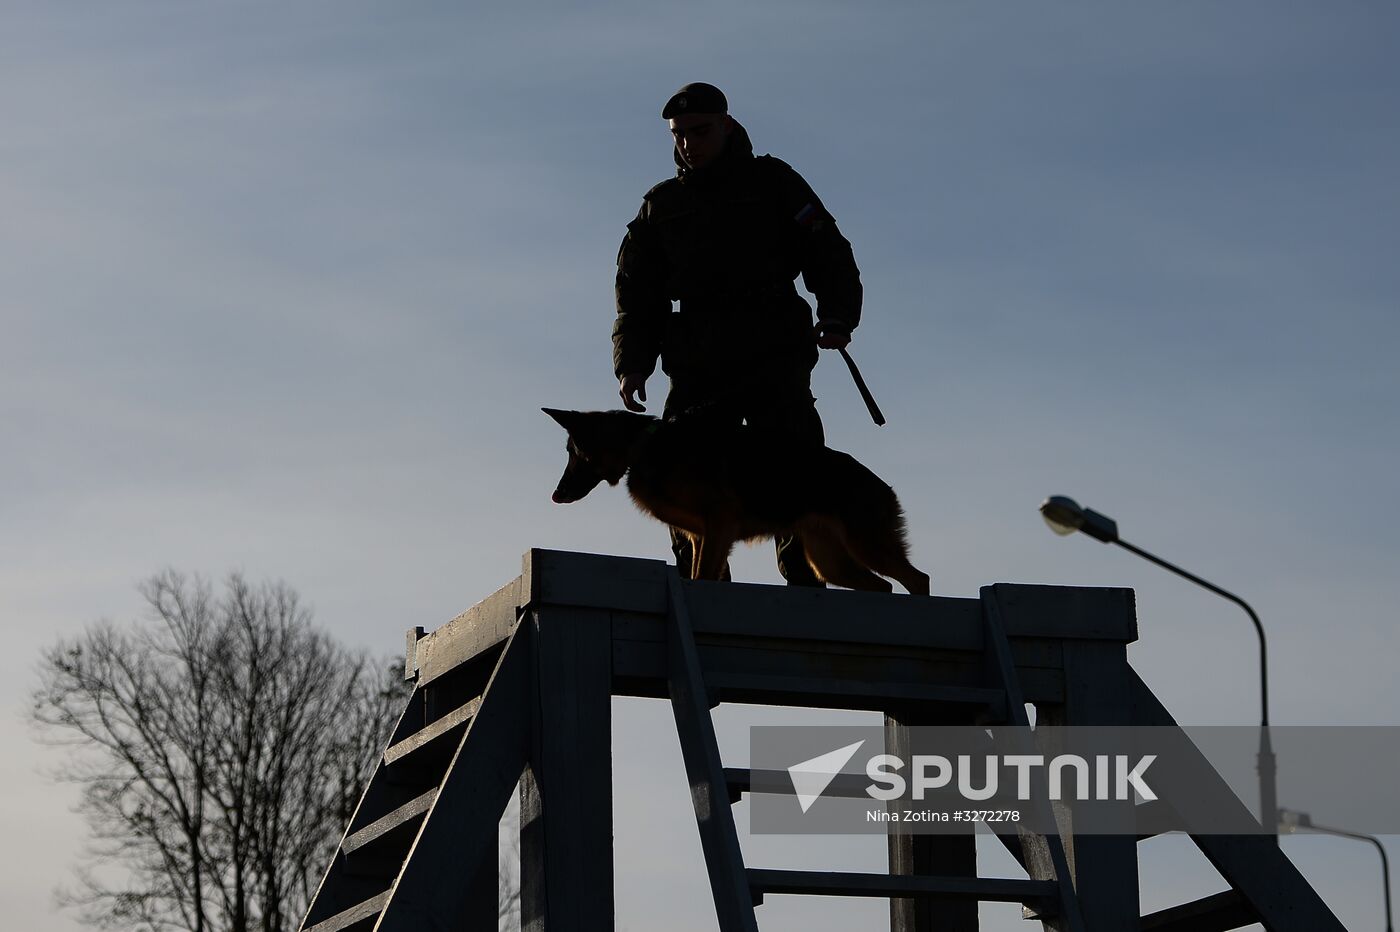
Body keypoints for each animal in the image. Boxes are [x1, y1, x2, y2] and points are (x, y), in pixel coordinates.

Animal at [546, 408, 929, 596]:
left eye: (573, 453)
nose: (555, 495)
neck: (643, 445)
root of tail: (884, 486)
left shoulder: (720, 525)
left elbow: (703, 577)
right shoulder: (701, 537)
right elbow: (699, 574)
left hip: (866, 546)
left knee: (918, 579)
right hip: (830, 561)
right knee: (884, 585)